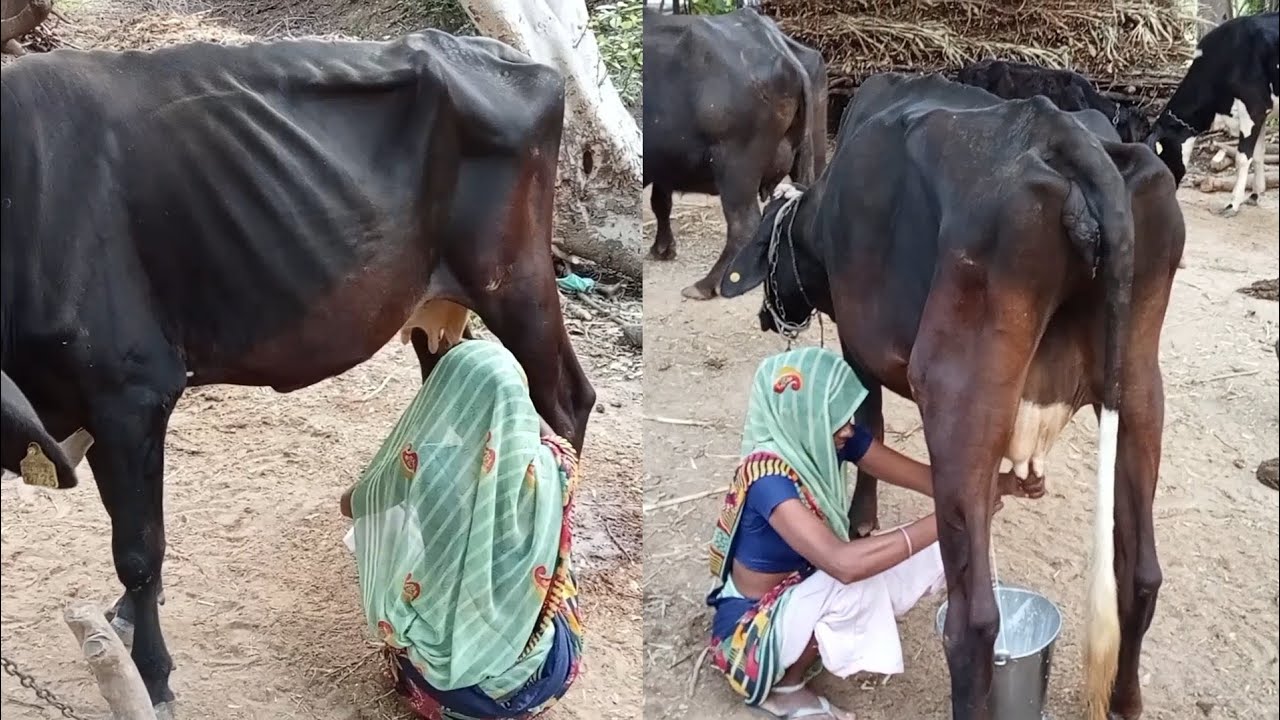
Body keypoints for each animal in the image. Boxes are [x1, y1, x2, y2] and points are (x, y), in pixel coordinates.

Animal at [0, 30, 597, 712]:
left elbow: (139, 548)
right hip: (435, 304)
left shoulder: (132, 392)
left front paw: (152, 675)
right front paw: (126, 617)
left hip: (517, 282)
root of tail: (497, 53)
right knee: (450, 382)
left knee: (568, 401)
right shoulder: (91, 408)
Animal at [642, 7, 827, 300]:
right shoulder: (664, 165)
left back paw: (705, 285)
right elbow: (661, 202)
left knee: (744, 224)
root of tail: (781, 49)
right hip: (813, 147)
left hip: (736, 167)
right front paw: (663, 248)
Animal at [719, 72, 1183, 720]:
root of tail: (1062, 130)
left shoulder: (858, 342)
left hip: (957, 391)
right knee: (1140, 573)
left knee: (975, 622)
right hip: (1140, 385)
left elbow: (868, 427)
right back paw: (1125, 700)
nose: (766, 316)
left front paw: (861, 520)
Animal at [1145, 11, 1280, 216]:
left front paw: (1233, 204)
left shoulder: (1253, 107)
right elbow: (1258, 153)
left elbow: (1242, 158)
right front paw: (1255, 195)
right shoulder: (1263, 112)